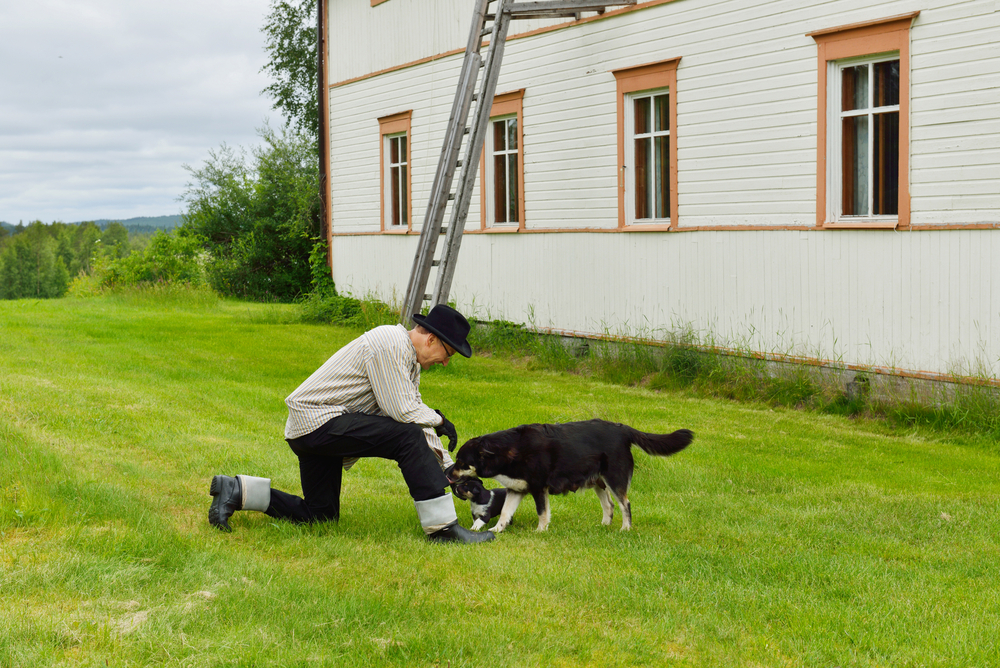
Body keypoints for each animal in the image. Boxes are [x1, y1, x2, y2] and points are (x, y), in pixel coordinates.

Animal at [452, 420, 696, 536]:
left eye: (462, 463)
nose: (448, 473)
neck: (508, 451)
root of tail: (623, 430)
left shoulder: (538, 488)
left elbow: (542, 513)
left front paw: (541, 531)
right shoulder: (516, 489)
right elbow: (504, 513)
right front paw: (496, 530)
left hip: (614, 479)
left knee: (625, 504)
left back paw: (625, 529)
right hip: (598, 481)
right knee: (609, 505)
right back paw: (604, 525)